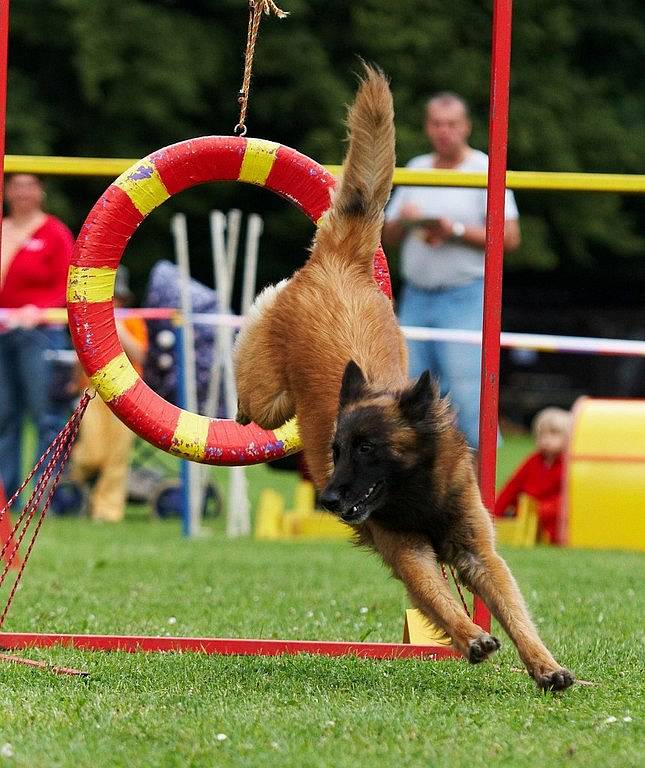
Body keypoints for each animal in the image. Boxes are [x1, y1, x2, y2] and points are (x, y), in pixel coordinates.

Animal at [235, 64, 572, 688]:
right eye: (336, 450)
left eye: (367, 449)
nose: (328, 499)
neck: (415, 486)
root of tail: (340, 261)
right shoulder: (407, 551)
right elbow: (438, 598)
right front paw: (470, 637)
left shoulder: (476, 548)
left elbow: (514, 607)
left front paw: (546, 665)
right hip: (266, 399)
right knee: (251, 386)